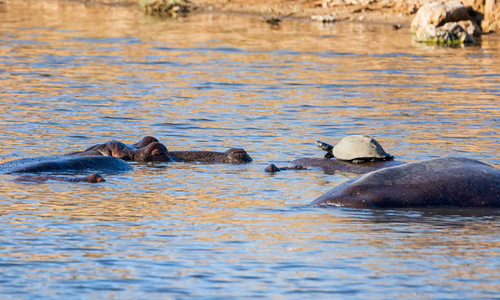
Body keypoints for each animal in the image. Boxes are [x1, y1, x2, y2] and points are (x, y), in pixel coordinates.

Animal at [266, 135, 402, 175]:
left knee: (369, 158)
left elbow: (329, 153)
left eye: (319, 143)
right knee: (383, 156)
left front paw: (326, 155)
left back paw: (357, 160)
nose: (316, 141)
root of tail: (378, 152)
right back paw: (389, 156)